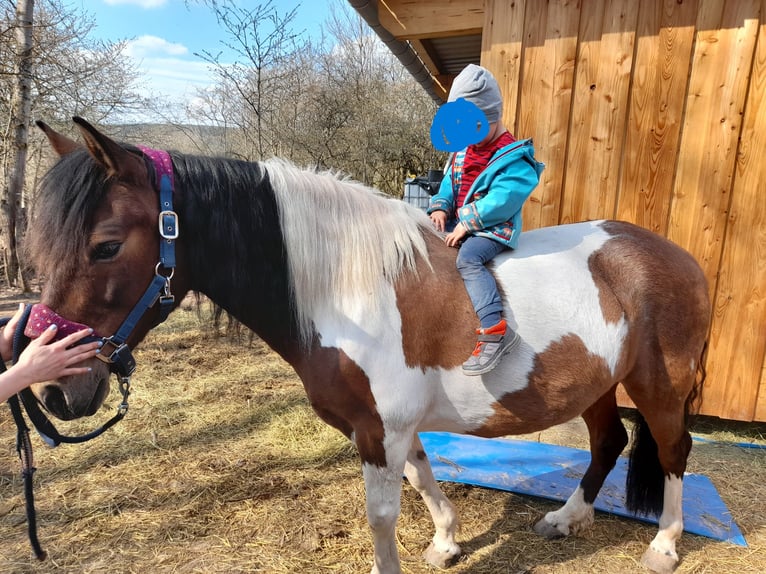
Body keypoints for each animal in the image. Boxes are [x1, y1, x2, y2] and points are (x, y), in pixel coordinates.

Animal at [28, 118, 712, 574]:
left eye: (106, 245)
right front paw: (446, 541)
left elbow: (383, 516)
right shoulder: (387, 425)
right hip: (598, 383)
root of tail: (675, 255)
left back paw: (663, 545)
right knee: (609, 443)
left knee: (673, 448)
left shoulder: (382, 427)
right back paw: (567, 518)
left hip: (658, 384)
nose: (57, 390)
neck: (346, 290)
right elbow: (422, 474)